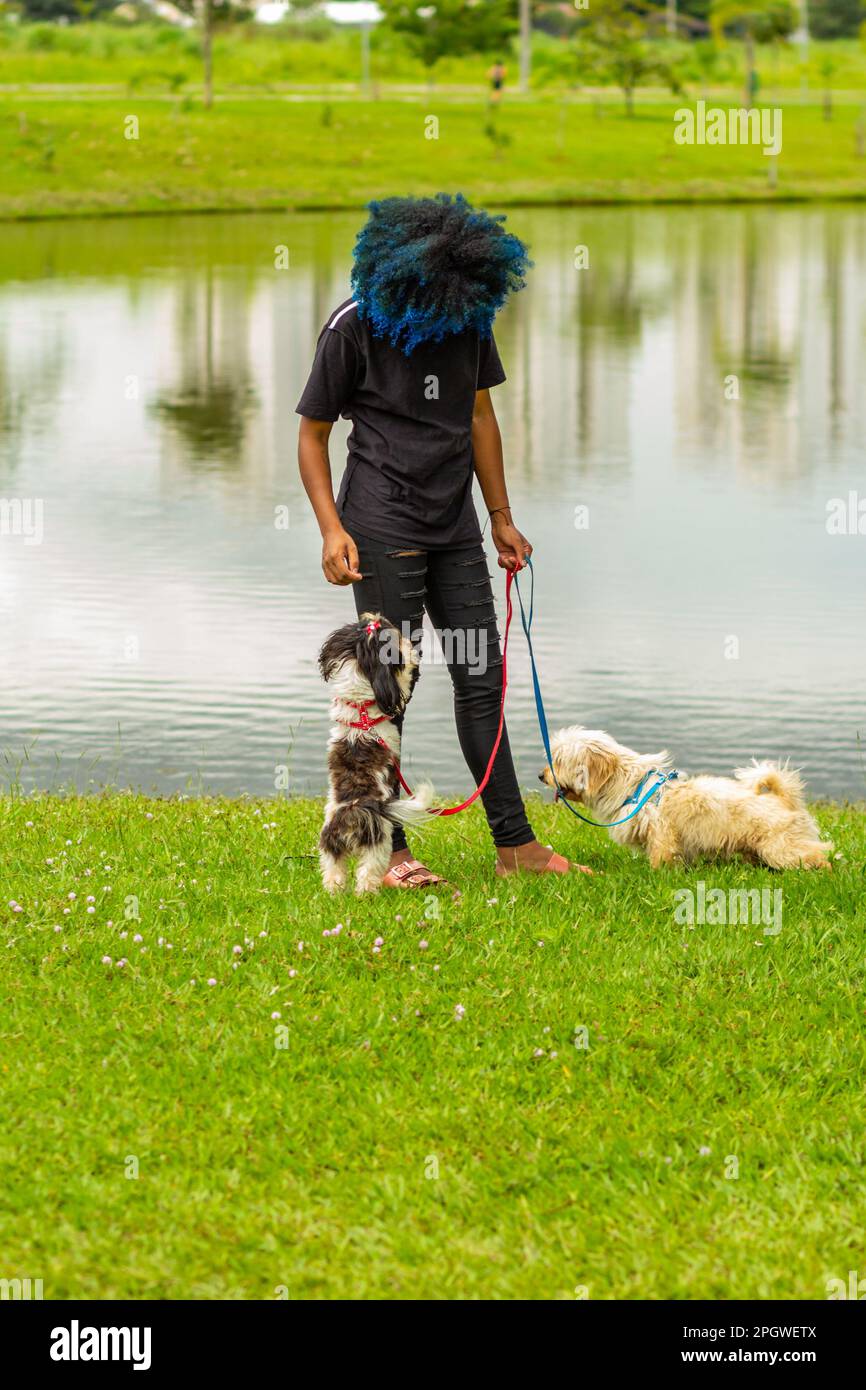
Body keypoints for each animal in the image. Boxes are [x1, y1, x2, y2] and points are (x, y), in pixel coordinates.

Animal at [318, 614, 433, 895]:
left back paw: (334, 894)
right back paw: (367, 894)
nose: (372, 616)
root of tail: (353, 811)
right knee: (367, 874)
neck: (360, 706)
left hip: (329, 847)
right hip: (378, 844)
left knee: (333, 872)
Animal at [542, 728, 834, 867]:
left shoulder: (662, 832)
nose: (540, 775)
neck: (631, 786)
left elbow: (660, 857)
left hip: (781, 848)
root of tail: (784, 799)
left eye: (558, 760)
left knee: (818, 856)